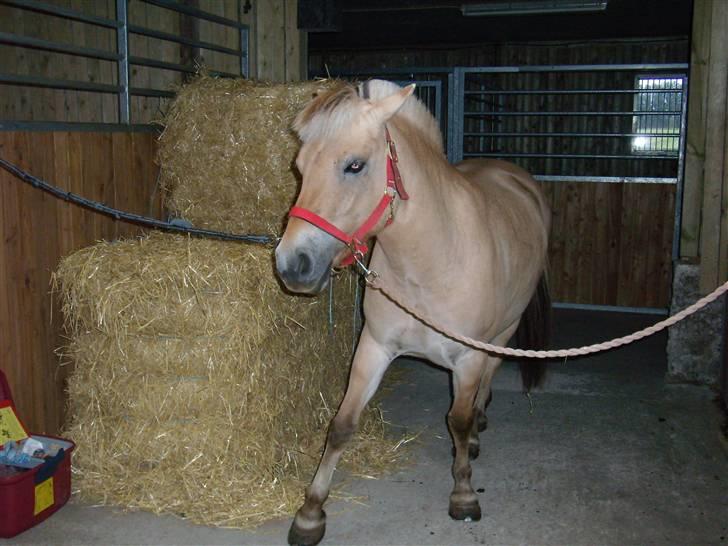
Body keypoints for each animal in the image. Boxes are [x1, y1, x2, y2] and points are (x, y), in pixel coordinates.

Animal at [276, 77, 548, 544]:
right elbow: (342, 424)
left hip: (503, 332)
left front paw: (463, 494)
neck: (429, 263)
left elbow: (458, 420)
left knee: (487, 381)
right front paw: (310, 513)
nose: (293, 265)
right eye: (300, 167)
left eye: (355, 166)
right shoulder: (373, 347)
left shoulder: (467, 357)